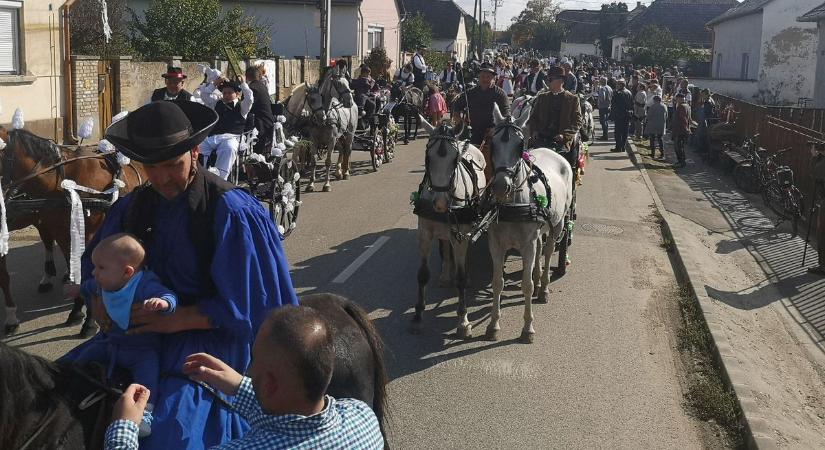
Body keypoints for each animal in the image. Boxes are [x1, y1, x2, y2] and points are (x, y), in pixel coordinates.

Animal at [0, 125, 146, 336]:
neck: (63, 181)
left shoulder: (91, 234)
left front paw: (89, 321)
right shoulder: (63, 234)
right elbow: (75, 267)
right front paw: (77, 311)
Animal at [410, 116, 482, 338]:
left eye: (455, 160)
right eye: (427, 157)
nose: (440, 203)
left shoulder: (461, 235)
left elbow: (460, 277)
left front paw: (463, 320)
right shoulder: (424, 233)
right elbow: (422, 274)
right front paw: (417, 316)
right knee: (444, 245)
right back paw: (444, 275)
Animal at [482, 107, 572, 342]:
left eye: (519, 145)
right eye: (493, 143)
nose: (500, 186)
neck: (513, 204)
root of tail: (553, 151)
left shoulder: (527, 245)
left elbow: (526, 286)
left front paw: (527, 328)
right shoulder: (495, 244)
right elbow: (497, 282)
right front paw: (493, 325)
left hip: (558, 223)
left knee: (548, 251)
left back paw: (545, 287)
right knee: (540, 248)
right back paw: (539, 277)